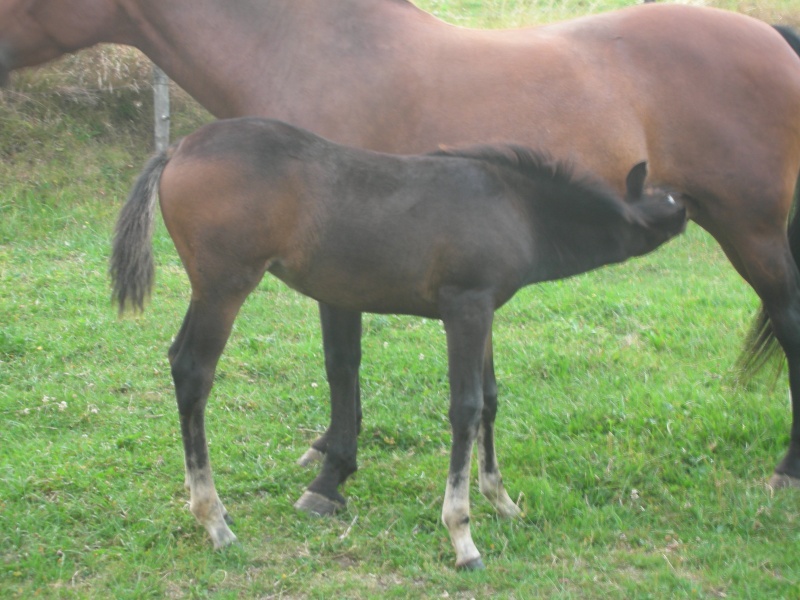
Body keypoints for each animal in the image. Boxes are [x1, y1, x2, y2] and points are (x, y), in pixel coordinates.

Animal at [1, 0, 800, 516]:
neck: (310, 49)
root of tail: (773, 37)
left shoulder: (340, 270)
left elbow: (342, 365)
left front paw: (332, 476)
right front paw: (329, 455)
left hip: (752, 233)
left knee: (790, 324)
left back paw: (786, 472)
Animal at [111, 116, 688, 568]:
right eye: (677, 206)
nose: (691, 216)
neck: (516, 206)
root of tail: (177, 148)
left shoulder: (484, 309)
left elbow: (491, 400)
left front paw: (502, 501)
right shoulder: (463, 307)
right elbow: (465, 408)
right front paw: (462, 535)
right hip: (224, 286)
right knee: (192, 370)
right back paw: (213, 519)